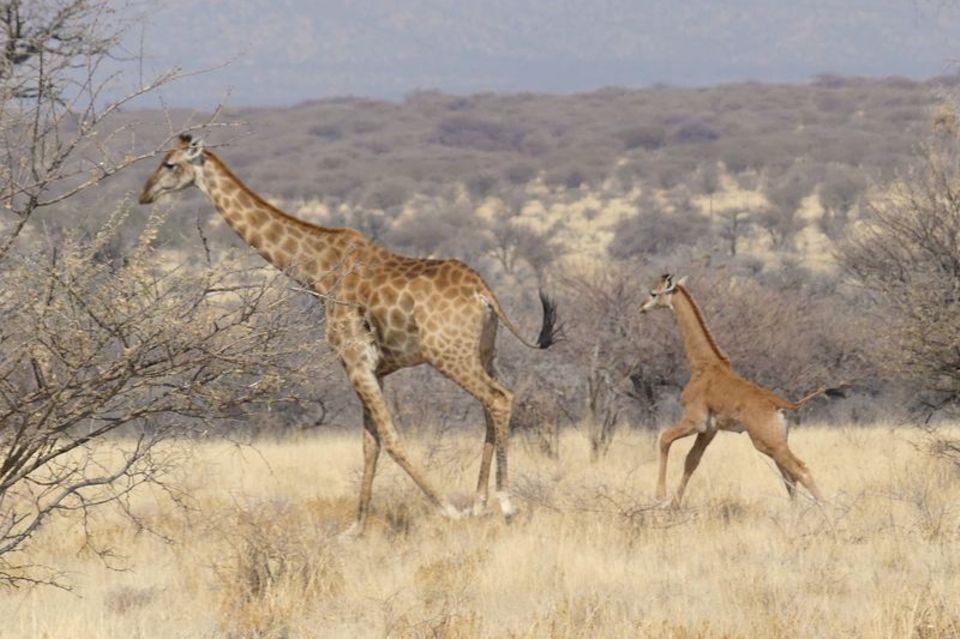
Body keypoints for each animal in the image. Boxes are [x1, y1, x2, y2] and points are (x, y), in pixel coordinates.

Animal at [141, 134, 564, 536]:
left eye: (170, 164)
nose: (145, 194)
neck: (317, 270)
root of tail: (484, 292)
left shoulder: (354, 360)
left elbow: (390, 438)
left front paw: (448, 511)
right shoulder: (373, 368)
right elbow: (369, 444)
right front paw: (356, 528)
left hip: (448, 354)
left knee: (499, 398)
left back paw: (504, 504)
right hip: (483, 352)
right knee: (489, 406)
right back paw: (480, 502)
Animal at [644, 272, 840, 508]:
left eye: (653, 293)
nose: (642, 308)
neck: (703, 365)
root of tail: (782, 405)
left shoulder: (695, 420)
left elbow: (664, 438)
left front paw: (660, 497)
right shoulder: (710, 429)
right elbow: (692, 460)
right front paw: (674, 504)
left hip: (766, 441)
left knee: (801, 470)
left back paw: (828, 510)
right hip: (776, 441)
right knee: (789, 475)